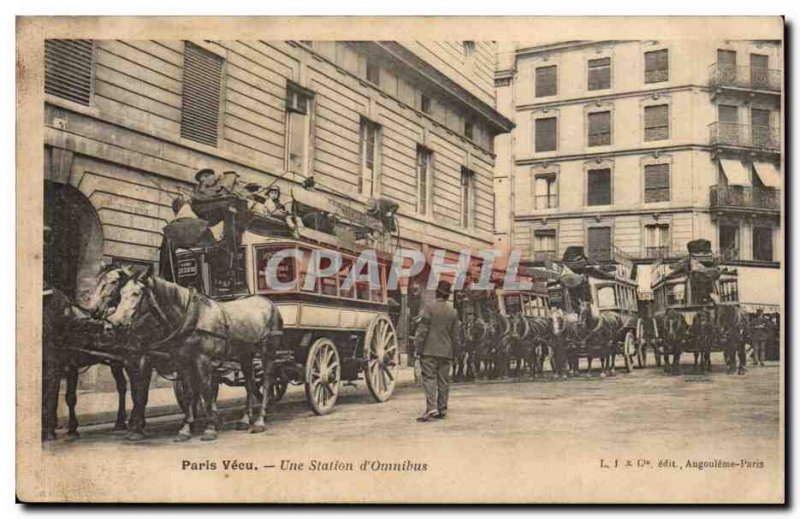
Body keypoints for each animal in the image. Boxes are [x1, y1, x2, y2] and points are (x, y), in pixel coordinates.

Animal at [104, 268, 282, 442]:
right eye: (121, 293)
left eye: (136, 293)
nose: (114, 322)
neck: (190, 316)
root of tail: (267, 302)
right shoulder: (183, 361)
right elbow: (189, 392)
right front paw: (185, 428)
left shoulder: (203, 359)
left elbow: (205, 389)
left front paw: (210, 427)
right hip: (245, 353)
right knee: (250, 384)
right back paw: (245, 419)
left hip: (268, 350)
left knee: (267, 381)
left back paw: (260, 420)